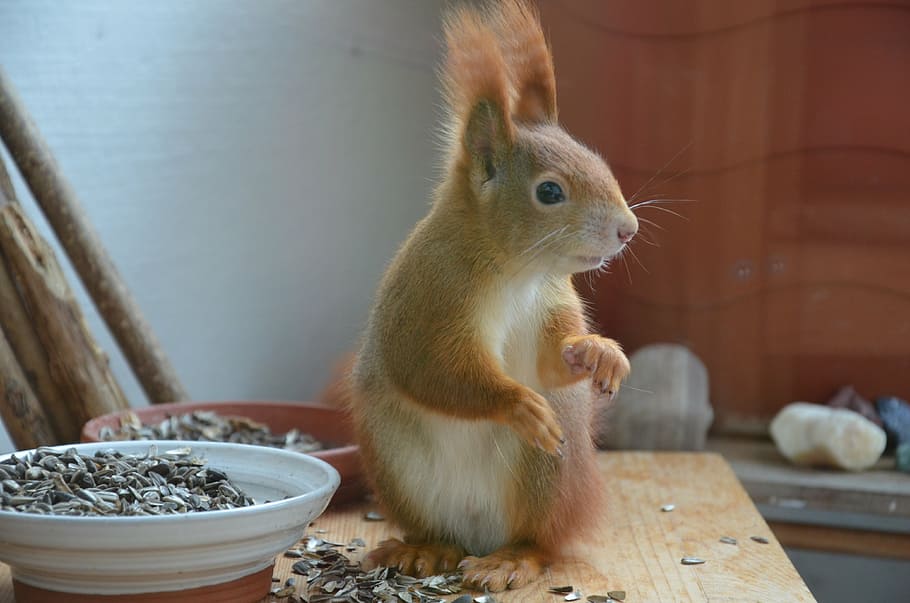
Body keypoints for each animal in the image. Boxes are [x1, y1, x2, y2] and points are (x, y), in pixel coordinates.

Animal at [349, 0, 638, 592]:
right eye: (549, 191)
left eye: (597, 160)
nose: (628, 230)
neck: (517, 273)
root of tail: (477, 534)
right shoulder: (430, 298)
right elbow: (431, 370)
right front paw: (516, 403)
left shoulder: (551, 301)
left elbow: (551, 366)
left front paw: (598, 352)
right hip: (397, 461)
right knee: (444, 531)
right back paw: (427, 550)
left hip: (547, 473)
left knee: (539, 543)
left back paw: (509, 559)